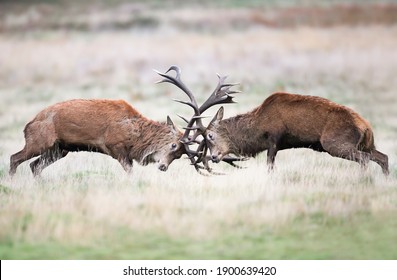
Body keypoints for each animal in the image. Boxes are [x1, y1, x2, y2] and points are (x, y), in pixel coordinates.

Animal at [8, 98, 183, 176]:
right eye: (173, 145)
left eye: (179, 155)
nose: (163, 167)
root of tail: (28, 125)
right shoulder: (115, 146)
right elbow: (129, 171)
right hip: (39, 142)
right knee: (14, 158)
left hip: (59, 150)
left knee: (34, 166)